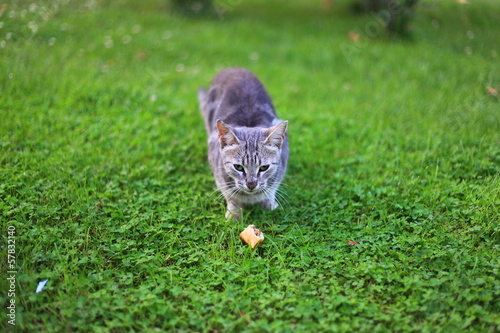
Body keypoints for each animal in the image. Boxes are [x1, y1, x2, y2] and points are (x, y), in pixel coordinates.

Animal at [197, 67, 288, 218]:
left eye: (264, 167)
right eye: (238, 167)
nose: (251, 184)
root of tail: (233, 68)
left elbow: (272, 188)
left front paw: (268, 203)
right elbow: (230, 195)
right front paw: (234, 213)